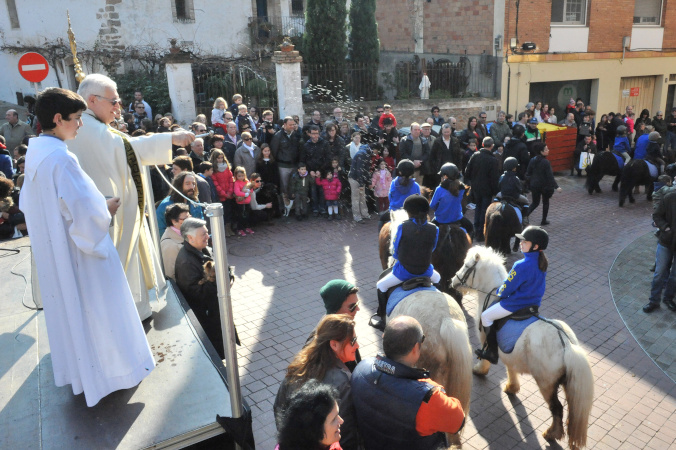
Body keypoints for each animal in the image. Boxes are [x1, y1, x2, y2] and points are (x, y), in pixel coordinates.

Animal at [454, 246, 592, 450]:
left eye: (467, 265)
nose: (453, 281)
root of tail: (566, 344)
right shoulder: (508, 354)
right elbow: (510, 368)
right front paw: (512, 387)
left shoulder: (486, 338)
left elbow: (487, 356)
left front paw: (479, 370)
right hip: (567, 384)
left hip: (546, 383)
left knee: (556, 409)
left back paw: (551, 434)